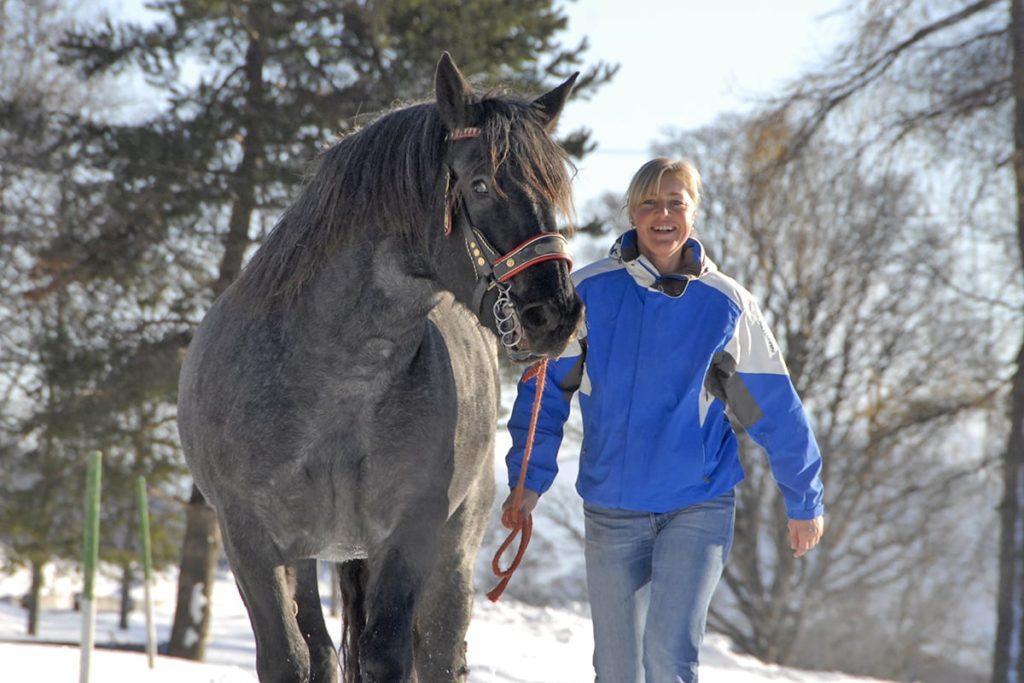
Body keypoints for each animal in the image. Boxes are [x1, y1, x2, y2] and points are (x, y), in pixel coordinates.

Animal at [176, 54, 585, 683]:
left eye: (554, 187)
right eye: (481, 184)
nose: (555, 314)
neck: (337, 385)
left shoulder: (411, 535)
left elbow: (387, 655)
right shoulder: (251, 542)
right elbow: (290, 659)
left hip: (451, 553)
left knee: (438, 652)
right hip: (305, 558)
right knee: (321, 653)